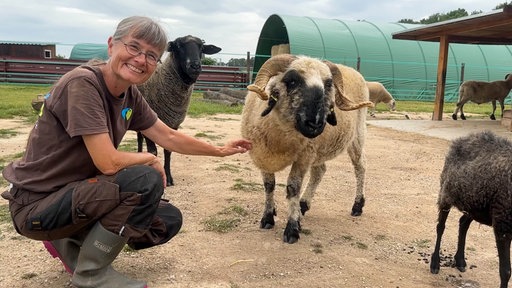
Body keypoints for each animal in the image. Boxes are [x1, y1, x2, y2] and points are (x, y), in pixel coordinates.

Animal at [137, 35, 221, 187]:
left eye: (201, 47)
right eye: (178, 46)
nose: (195, 66)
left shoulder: (173, 124)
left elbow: (169, 150)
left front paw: (169, 178)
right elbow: (153, 151)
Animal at [240, 53, 372, 243]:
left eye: (328, 84)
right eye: (292, 81)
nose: (315, 123)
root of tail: (354, 71)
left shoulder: (303, 157)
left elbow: (293, 188)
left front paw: (292, 229)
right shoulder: (263, 156)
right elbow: (269, 186)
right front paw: (268, 217)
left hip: (357, 136)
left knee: (360, 167)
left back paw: (357, 205)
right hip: (319, 150)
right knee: (320, 171)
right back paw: (303, 205)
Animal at [430, 131, 512, 288]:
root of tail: (465, 138)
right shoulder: (502, 225)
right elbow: (505, 271)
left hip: (474, 204)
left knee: (463, 223)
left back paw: (460, 261)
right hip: (445, 193)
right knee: (440, 227)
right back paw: (435, 263)